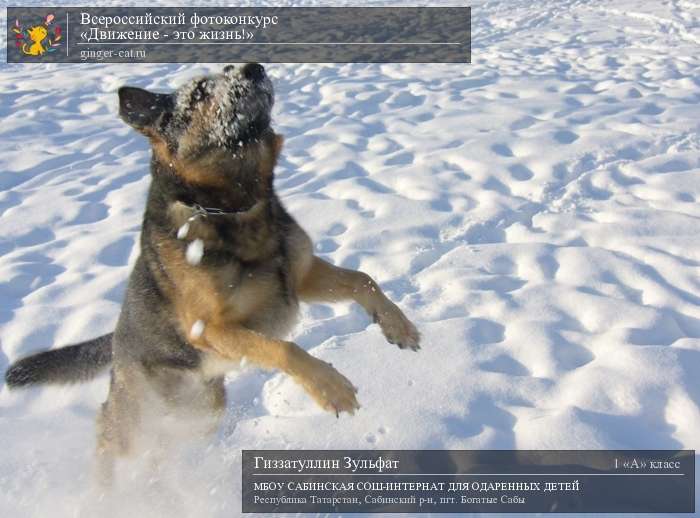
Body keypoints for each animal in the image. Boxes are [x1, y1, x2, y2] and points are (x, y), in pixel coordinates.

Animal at [4, 64, 422, 488]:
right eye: (200, 93)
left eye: (224, 71)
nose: (253, 68)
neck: (235, 208)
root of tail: (117, 341)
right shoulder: (211, 328)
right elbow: (285, 349)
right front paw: (331, 389)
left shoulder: (300, 276)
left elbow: (363, 278)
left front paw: (398, 327)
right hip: (136, 417)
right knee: (108, 431)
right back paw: (104, 491)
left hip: (201, 412)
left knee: (162, 451)